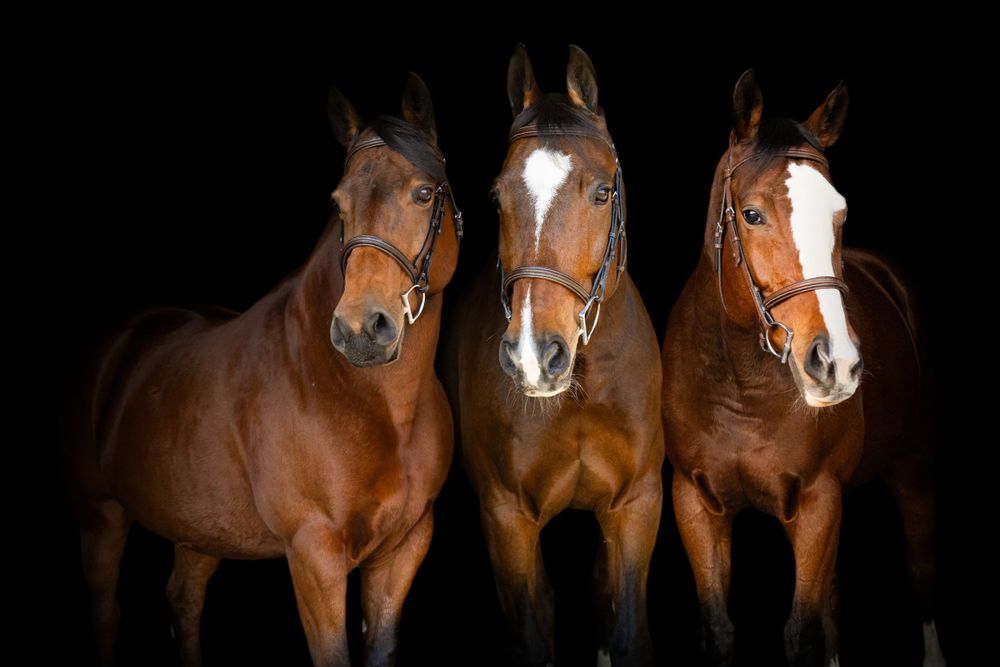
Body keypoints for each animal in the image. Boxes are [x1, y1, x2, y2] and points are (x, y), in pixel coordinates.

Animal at [66, 72, 462, 667]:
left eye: (422, 193)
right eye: (338, 204)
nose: (360, 329)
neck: (376, 407)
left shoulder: (403, 550)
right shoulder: (315, 555)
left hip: (199, 528)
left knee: (183, 603)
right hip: (101, 515)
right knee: (106, 616)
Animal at [446, 45, 663, 667]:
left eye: (602, 193)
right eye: (498, 197)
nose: (532, 355)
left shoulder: (637, 503)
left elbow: (626, 629)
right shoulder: (507, 518)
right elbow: (531, 631)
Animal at [661, 69, 946, 667]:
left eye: (840, 212)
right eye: (752, 214)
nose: (836, 362)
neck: (741, 390)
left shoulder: (818, 502)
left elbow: (801, 630)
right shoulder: (695, 503)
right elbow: (721, 627)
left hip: (912, 471)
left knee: (920, 572)